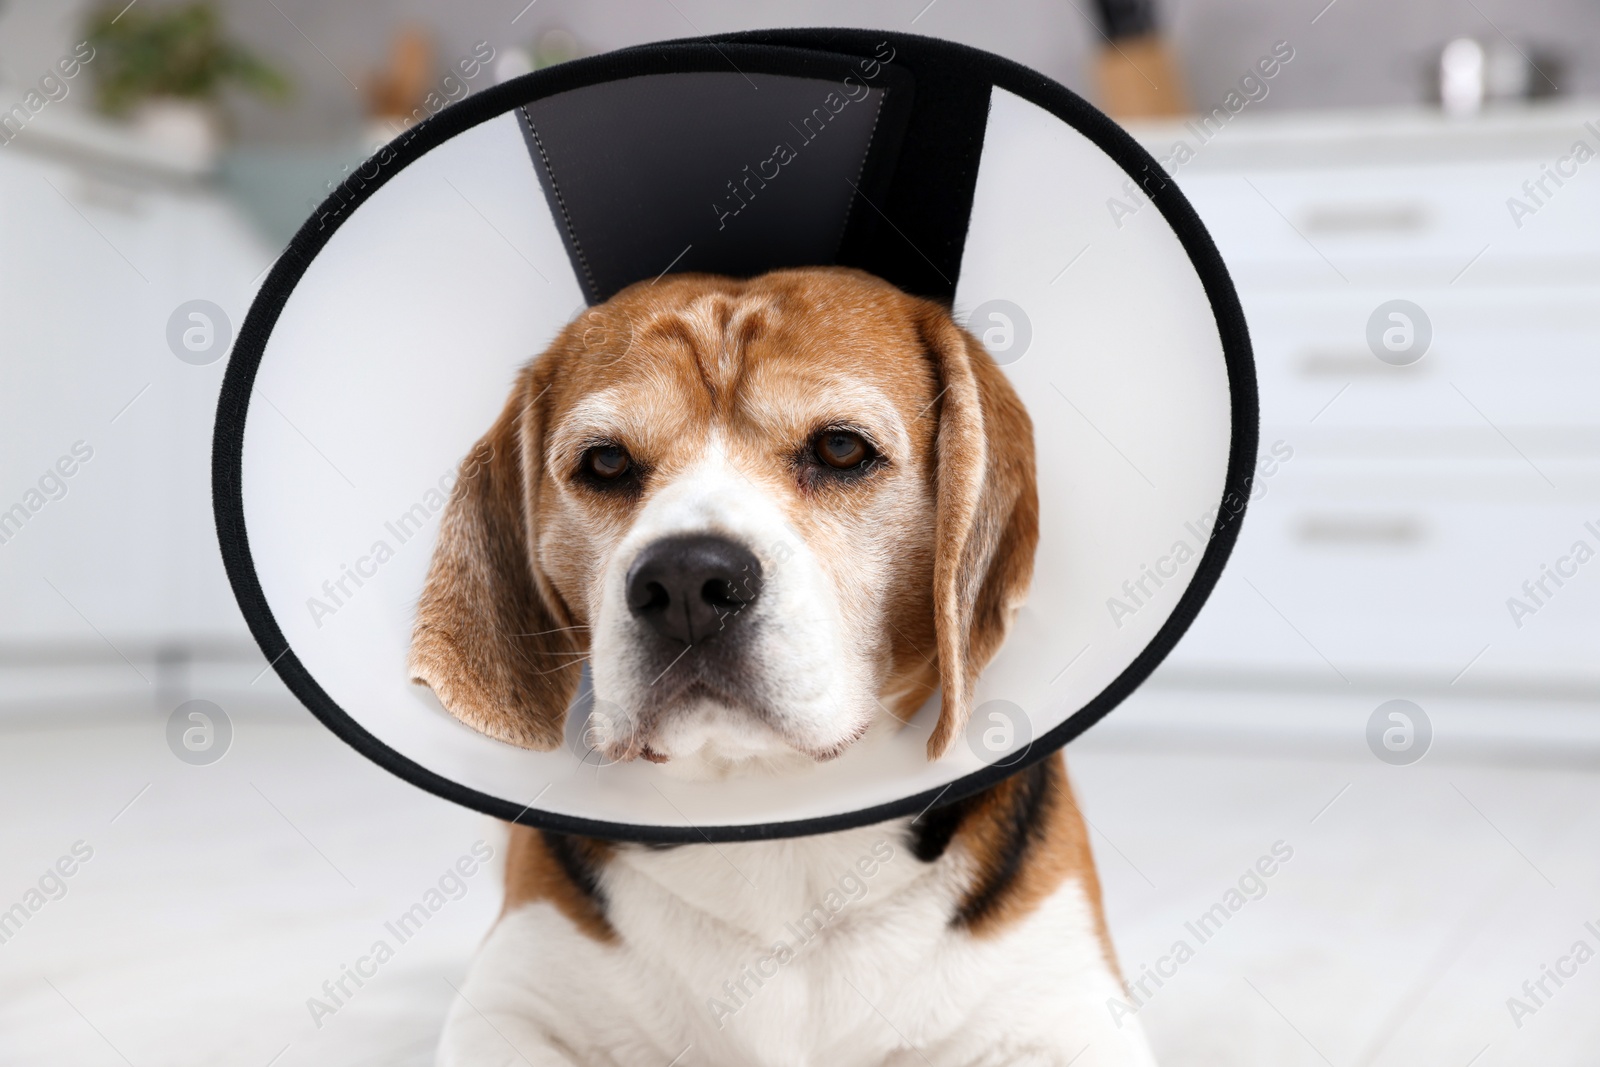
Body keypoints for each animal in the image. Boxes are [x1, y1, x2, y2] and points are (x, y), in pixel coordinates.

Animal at [403, 268, 1152, 1067]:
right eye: (606, 462)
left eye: (841, 448)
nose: (687, 583)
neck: (773, 821)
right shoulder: (508, 1004)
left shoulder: (1067, 1010)